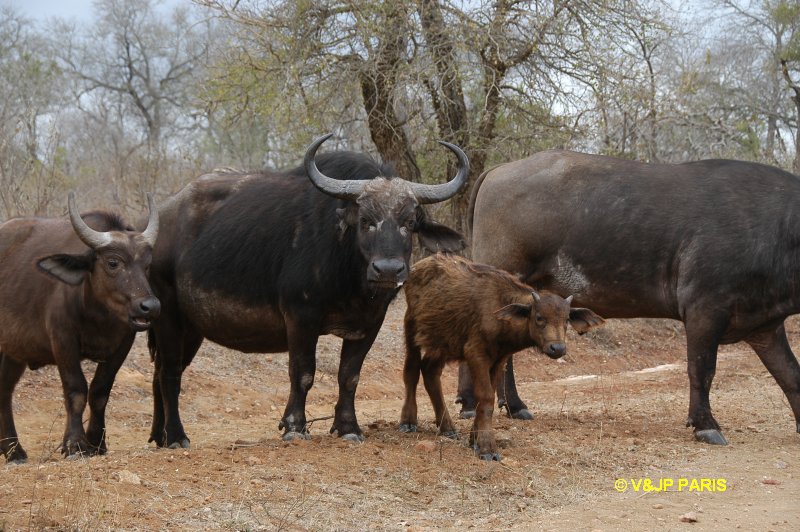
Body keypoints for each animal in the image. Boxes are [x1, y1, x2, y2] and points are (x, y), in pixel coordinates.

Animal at [0, 192, 161, 462]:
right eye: (113, 262)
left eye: (147, 265)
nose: (149, 306)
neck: (97, 315)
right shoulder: (63, 341)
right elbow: (76, 390)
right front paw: (75, 444)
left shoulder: (122, 346)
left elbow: (99, 392)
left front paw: (97, 443)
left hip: (14, 352)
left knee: (5, 389)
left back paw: (13, 451)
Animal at [148, 134, 468, 448]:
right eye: (366, 220)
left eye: (409, 222)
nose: (388, 270)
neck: (349, 278)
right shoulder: (301, 318)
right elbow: (302, 373)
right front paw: (294, 426)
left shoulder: (370, 323)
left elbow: (349, 376)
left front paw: (348, 427)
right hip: (168, 317)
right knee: (170, 374)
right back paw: (176, 436)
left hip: (192, 328)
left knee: (160, 373)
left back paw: (159, 436)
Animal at [400, 251, 600, 460]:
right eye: (539, 318)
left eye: (567, 319)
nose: (558, 348)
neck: (500, 309)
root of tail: (418, 267)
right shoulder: (476, 355)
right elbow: (486, 397)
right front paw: (488, 448)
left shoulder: (498, 360)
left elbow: (486, 399)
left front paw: (475, 440)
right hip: (411, 328)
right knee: (411, 370)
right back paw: (408, 421)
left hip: (442, 344)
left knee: (430, 371)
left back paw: (447, 427)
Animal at [456, 151, 800, 444]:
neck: (777, 229)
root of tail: (498, 170)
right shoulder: (704, 312)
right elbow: (702, 369)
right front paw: (706, 425)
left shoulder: (765, 327)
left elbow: (790, 375)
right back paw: (475, 404)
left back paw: (512, 405)